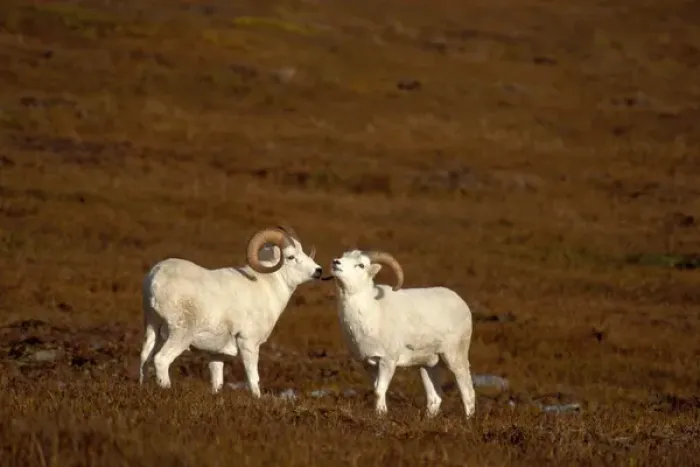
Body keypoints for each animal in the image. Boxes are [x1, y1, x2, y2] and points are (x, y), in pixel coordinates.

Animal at [140, 225, 323, 397]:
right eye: (291, 257)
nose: (318, 270)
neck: (267, 286)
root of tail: (155, 279)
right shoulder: (248, 343)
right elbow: (253, 379)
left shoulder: (216, 353)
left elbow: (217, 381)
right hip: (180, 334)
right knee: (161, 360)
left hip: (153, 328)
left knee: (144, 357)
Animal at [328, 249, 475, 418]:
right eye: (343, 256)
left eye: (361, 265)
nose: (336, 262)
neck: (373, 311)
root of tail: (462, 303)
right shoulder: (369, 364)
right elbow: (376, 389)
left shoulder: (387, 361)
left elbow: (379, 391)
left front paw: (381, 415)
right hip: (429, 365)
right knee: (435, 397)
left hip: (455, 357)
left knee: (467, 392)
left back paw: (468, 419)